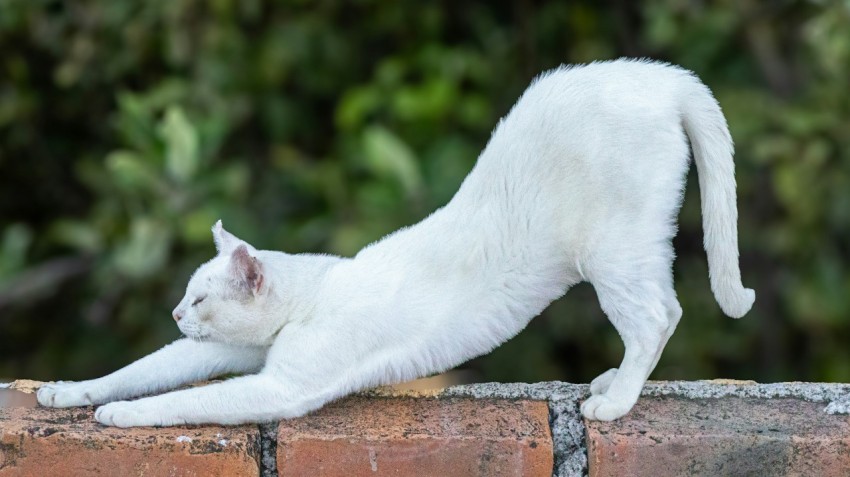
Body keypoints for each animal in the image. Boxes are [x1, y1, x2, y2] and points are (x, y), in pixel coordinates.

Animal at [38, 57, 756, 426]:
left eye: (200, 299)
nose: (175, 313)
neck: (311, 294)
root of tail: (660, 75)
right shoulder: (227, 354)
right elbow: (141, 372)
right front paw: (67, 393)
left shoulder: (279, 387)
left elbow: (182, 402)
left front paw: (117, 418)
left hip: (614, 255)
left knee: (660, 316)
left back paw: (614, 399)